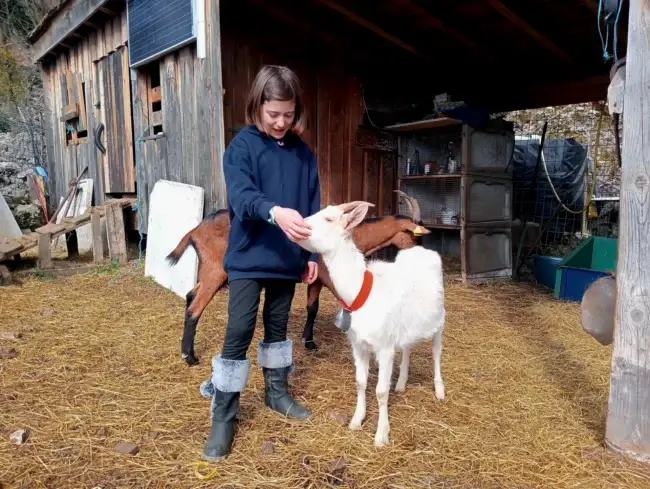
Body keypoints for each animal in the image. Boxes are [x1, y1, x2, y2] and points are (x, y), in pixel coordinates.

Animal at [166, 191, 429, 366]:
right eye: (415, 236)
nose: (420, 256)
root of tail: (195, 230)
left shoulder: (316, 279)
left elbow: (312, 307)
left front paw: (308, 341)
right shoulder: (329, 278)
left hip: (208, 271)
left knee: (190, 295)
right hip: (215, 271)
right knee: (195, 306)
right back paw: (189, 356)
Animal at [295, 200, 446, 448]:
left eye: (329, 218)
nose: (298, 224)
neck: (362, 291)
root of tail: (421, 252)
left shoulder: (384, 349)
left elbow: (381, 391)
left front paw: (381, 435)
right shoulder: (359, 345)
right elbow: (360, 383)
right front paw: (356, 420)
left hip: (439, 321)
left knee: (436, 352)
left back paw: (439, 390)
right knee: (407, 347)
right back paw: (401, 383)